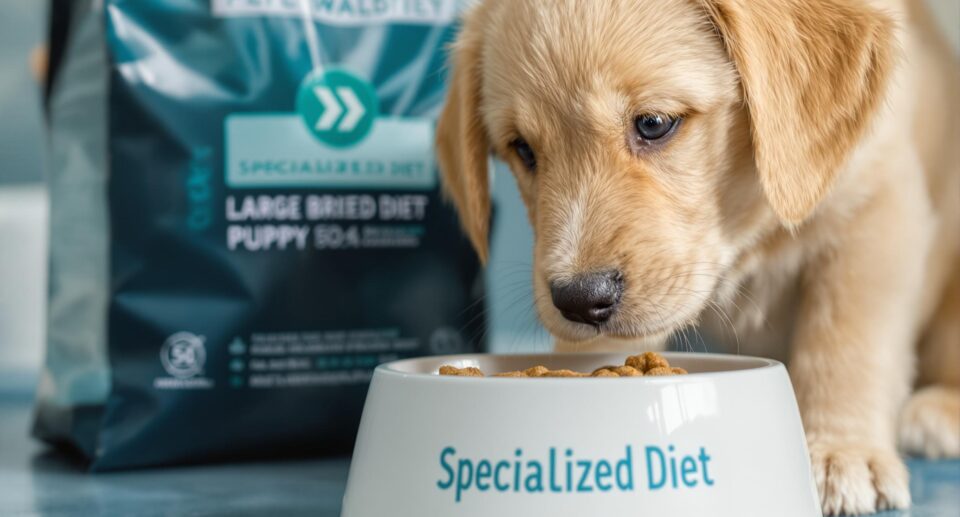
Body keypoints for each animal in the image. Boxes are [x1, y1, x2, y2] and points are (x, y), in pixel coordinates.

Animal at [436, 1, 960, 512]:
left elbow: (847, 341)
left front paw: (841, 452)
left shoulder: (874, 207)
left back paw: (937, 413)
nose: (580, 300)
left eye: (653, 124)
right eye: (523, 149)